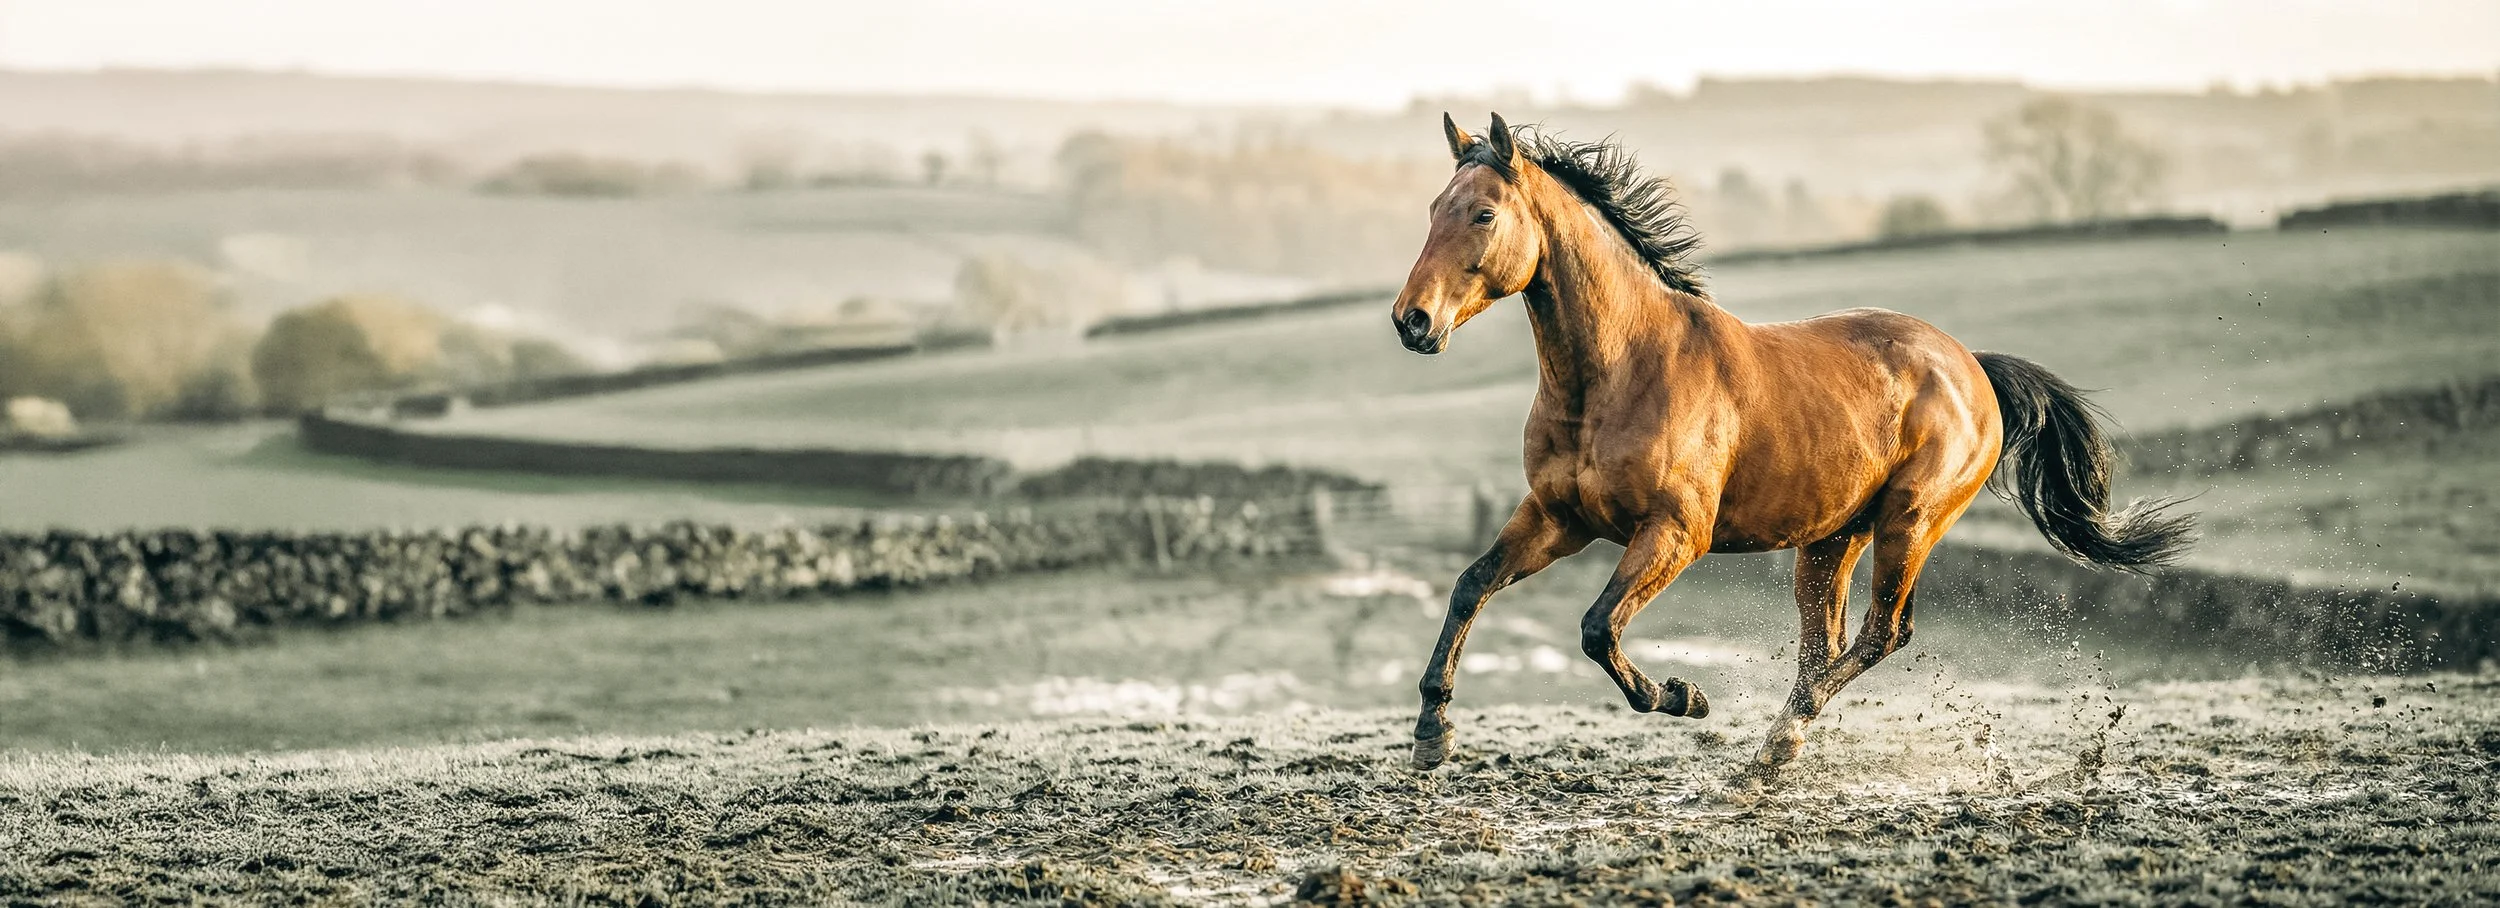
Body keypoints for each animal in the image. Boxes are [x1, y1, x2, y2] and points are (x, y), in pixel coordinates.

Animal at [1390, 113, 2195, 773]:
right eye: (1430, 210)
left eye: (1484, 213)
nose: (1411, 321)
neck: (1618, 371)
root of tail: (1973, 368)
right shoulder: (1560, 517)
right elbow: (1471, 584)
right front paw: (1432, 732)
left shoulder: (1675, 532)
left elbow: (1597, 628)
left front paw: (1684, 696)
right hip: (1831, 541)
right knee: (1826, 644)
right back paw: (1782, 745)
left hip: (1909, 523)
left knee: (1882, 633)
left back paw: (1778, 741)